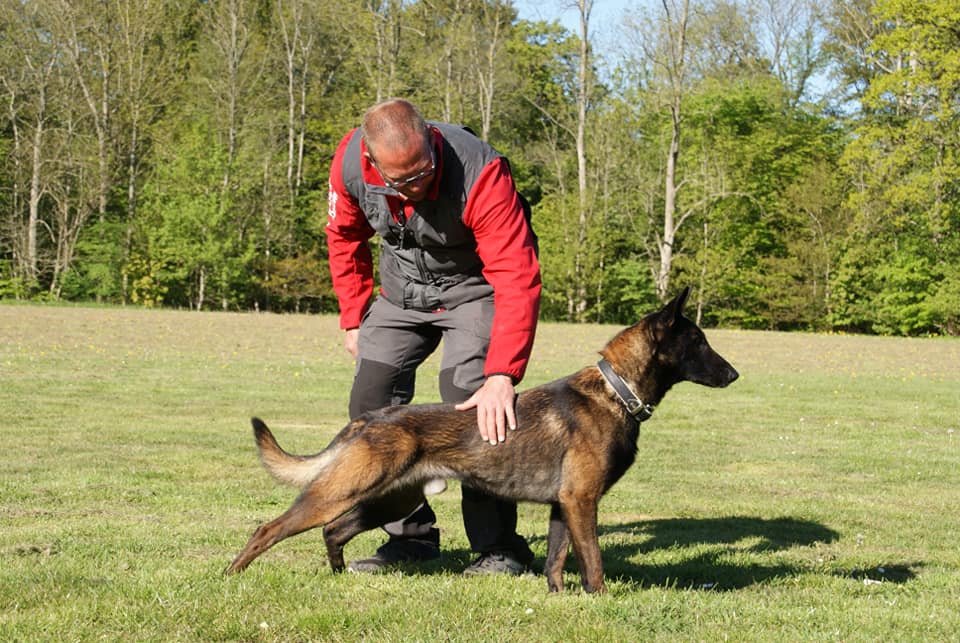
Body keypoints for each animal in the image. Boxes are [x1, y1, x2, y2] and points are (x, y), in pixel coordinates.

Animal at [227, 286, 744, 592]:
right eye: (699, 342)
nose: (736, 375)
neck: (616, 392)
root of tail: (371, 419)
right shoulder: (582, 501)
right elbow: (593, 562)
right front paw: (599, 601)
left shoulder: (564, 507)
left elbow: (556, 561)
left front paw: (559, 599)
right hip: (338, 493)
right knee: (269, 528)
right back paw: (231, 576)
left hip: (387, 499)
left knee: (334, 532)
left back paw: (336, 579)